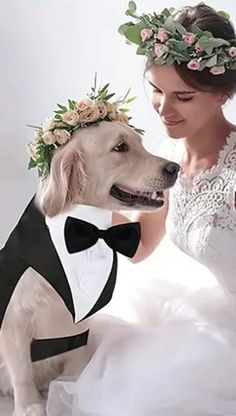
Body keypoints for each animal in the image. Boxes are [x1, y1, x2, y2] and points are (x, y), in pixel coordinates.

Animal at [0, 118, 179, 414]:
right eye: (120, 147)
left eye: (140, 144)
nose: (176, 168)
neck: (83, 231)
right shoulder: (14, 320)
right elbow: (22, 370)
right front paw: (30, 407)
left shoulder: (80, 325)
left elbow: (74, 365)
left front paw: (71, 395)